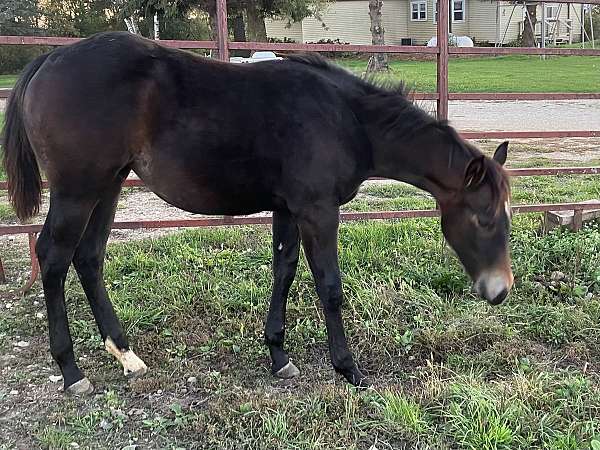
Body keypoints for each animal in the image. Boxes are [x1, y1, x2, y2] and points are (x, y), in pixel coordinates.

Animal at [2, 31, 512, 394]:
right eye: (484, 219)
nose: (501, 290)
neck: (344, 118)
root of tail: (47, 60)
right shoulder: (318, 211)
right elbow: (329, 285)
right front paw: (349, 368)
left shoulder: (288, 208)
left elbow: (284, 270)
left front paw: (278, 357)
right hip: (77, 190)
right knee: (53, 258)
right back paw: (71, 372)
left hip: (107, 186)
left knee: (89, 258)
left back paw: (126, 355)